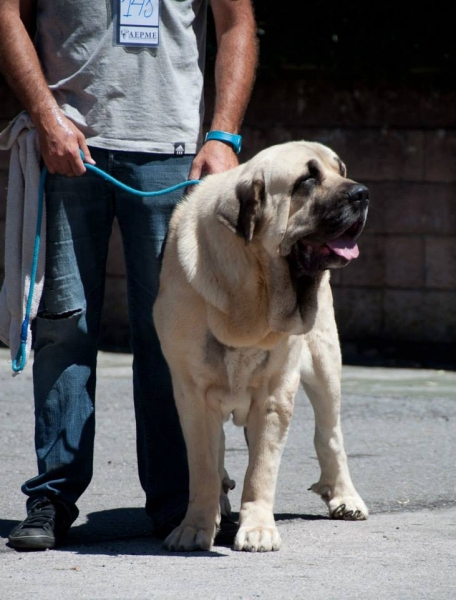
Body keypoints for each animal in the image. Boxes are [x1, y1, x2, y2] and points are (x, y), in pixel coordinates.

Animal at [154, 141, 370, 552]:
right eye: (306, 180)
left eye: (341, 171)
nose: (362, 193)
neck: (253, 290)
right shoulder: (193, 395)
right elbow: (203, 468)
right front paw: (195, 526)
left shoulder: (273, 395)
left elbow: (261, 471)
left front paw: (257, 529)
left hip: (324, 364)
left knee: (330, 434)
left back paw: (346, 497)